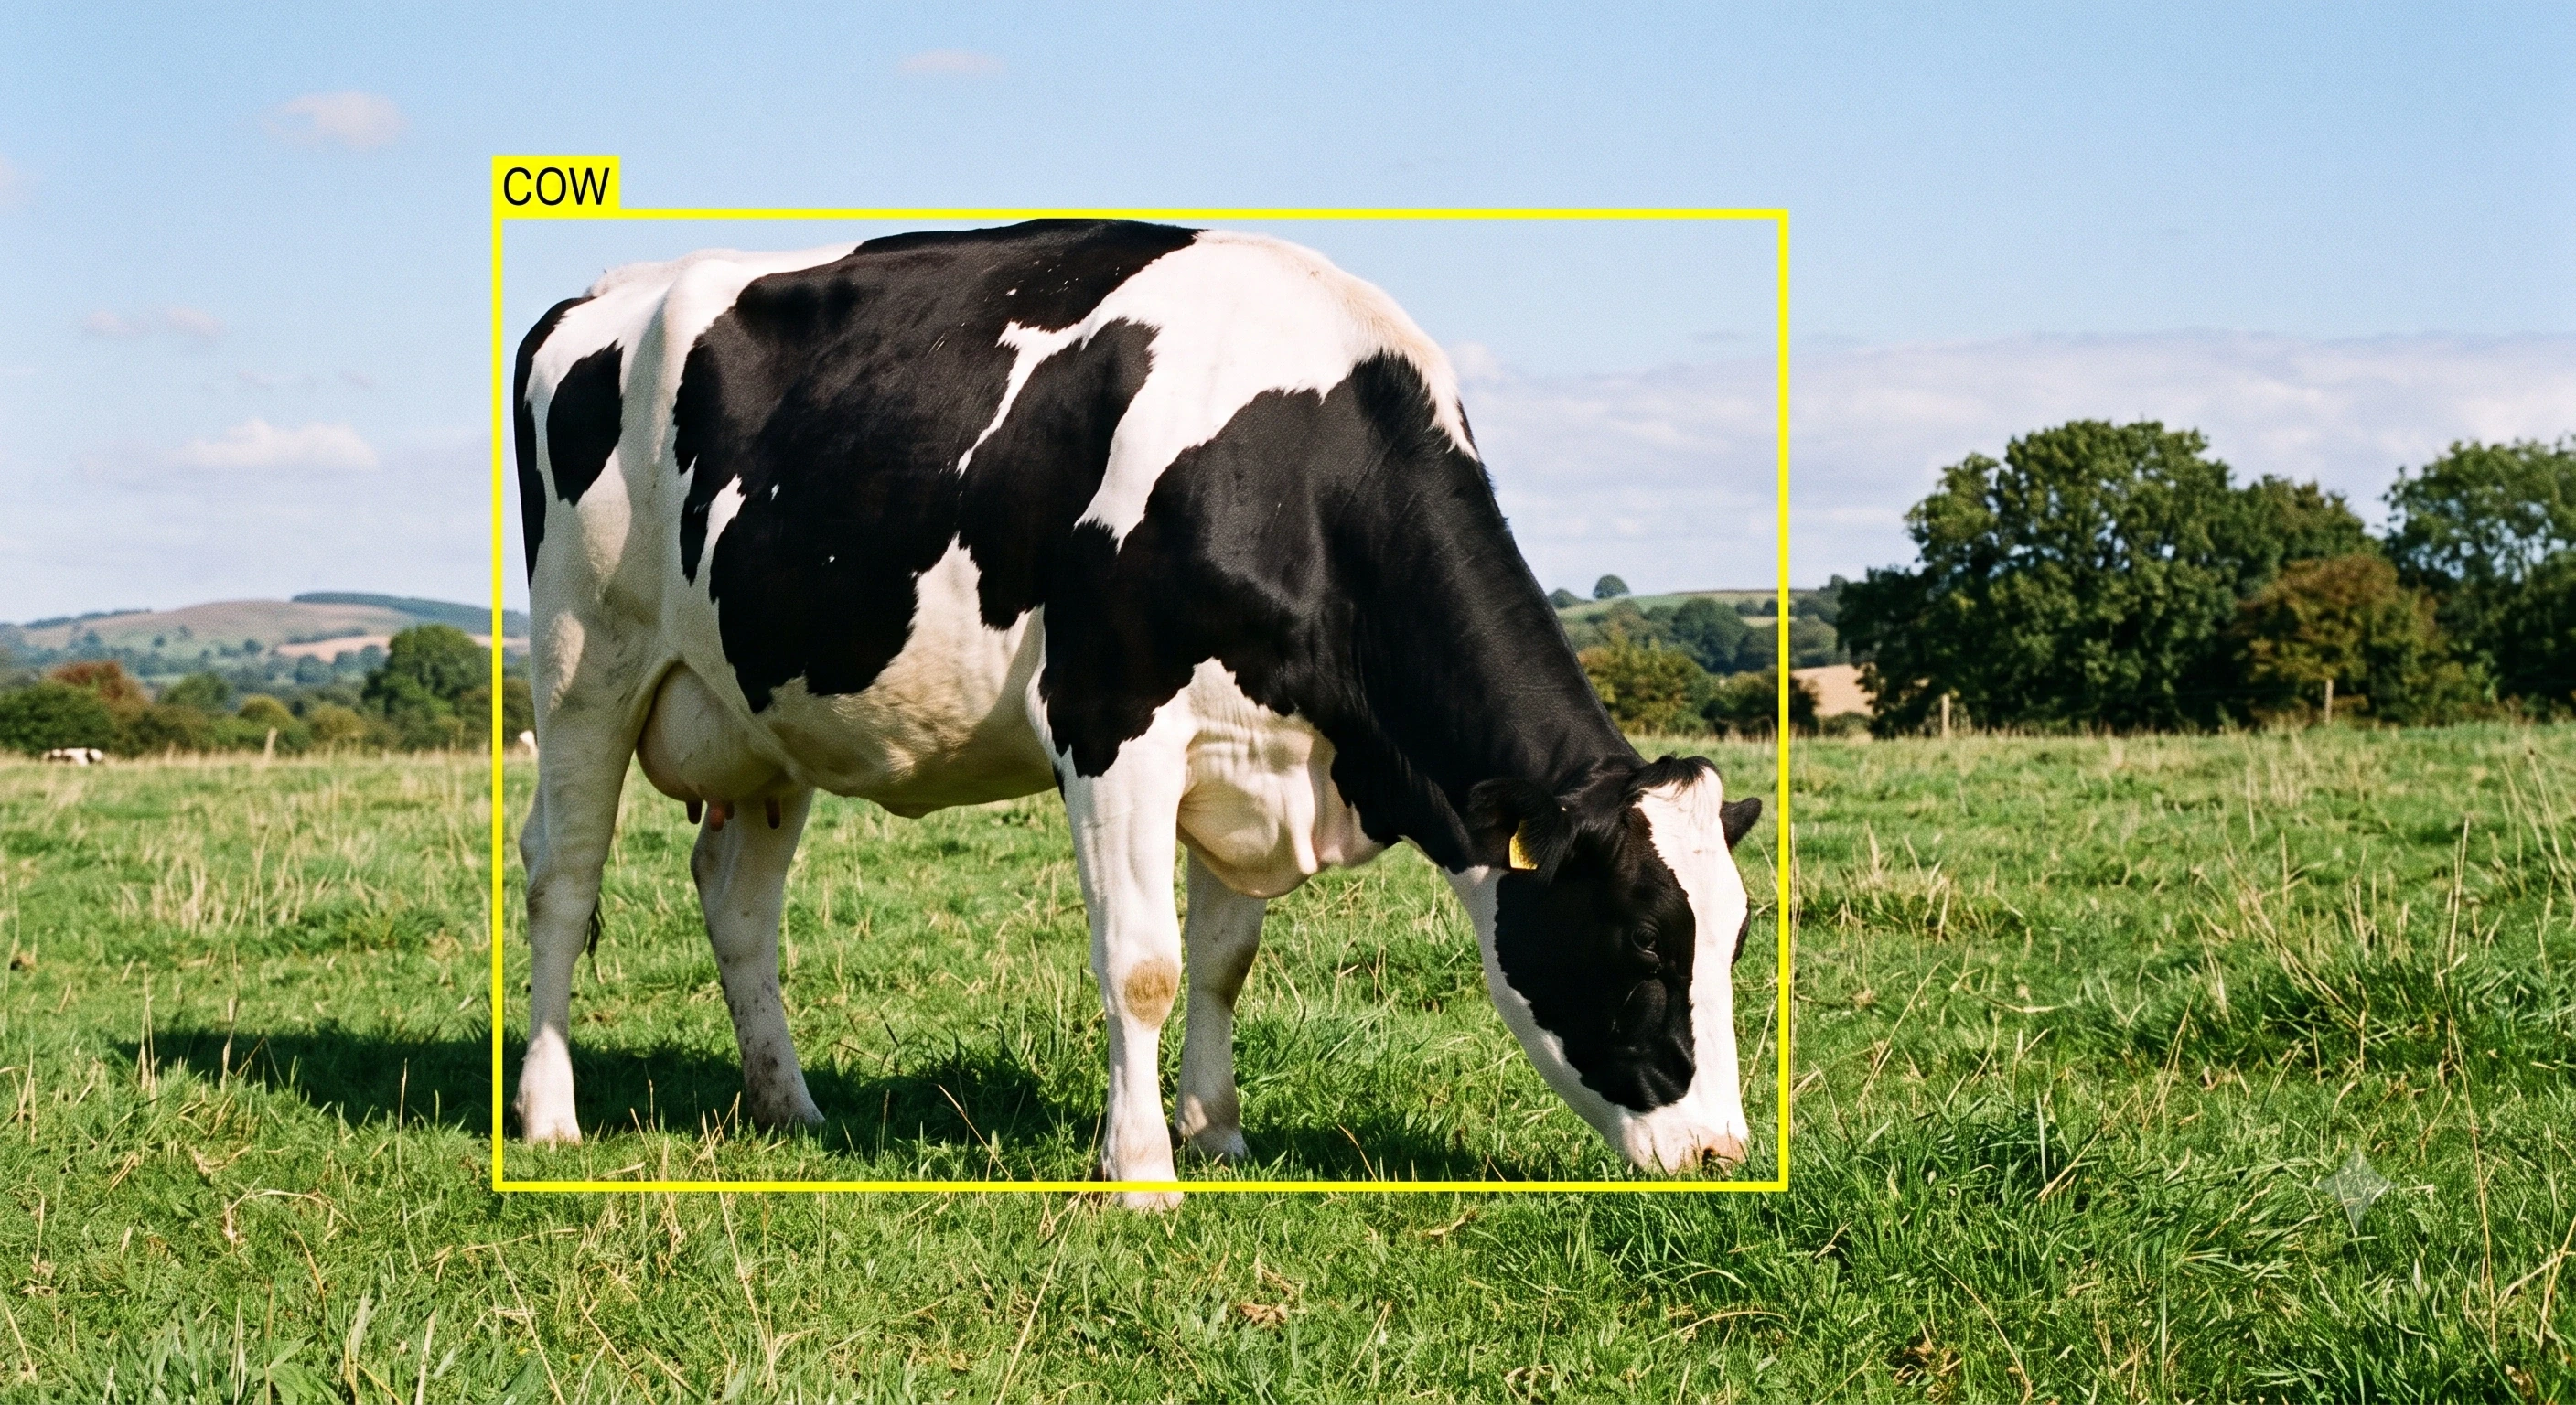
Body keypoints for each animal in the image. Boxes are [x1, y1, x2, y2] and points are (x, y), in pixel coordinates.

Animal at [511, 220, 1764, 1206]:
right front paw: (1143, 1173)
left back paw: (787, 1106)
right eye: (1643, 946)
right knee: (563, 879)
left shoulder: (1253, 751)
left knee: (737, 905)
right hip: (582, 665)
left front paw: (1218, 1133)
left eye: (1736, 939)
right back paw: (548, 1115)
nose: (1721, 1155)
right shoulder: (1109, 720)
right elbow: (1144, 964)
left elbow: (1222, 962)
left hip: (763, 717)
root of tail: (599, 293)